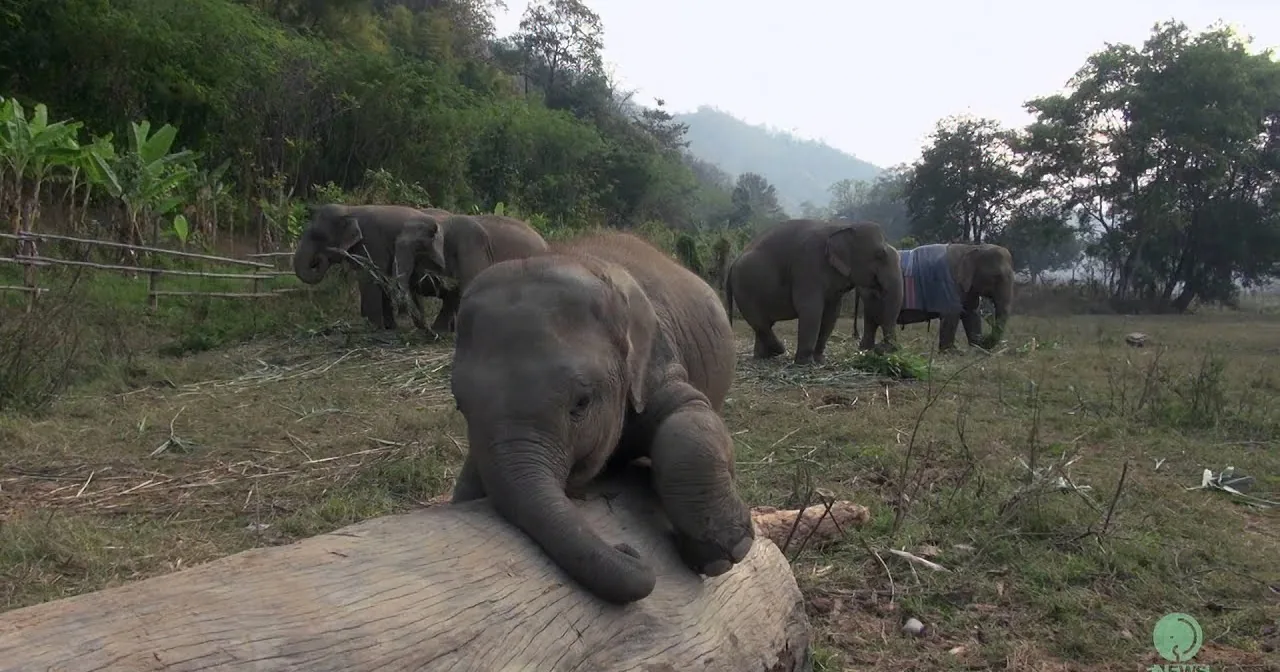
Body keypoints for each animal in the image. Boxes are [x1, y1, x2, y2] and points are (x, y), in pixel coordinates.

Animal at [293, 203, 447, 330]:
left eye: (317, 235)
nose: (319, 258)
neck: (349, 209)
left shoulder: (371, 242)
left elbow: (369, 278)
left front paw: (375, 328)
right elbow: (383, 279)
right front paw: (389, 327)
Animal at [392, 212, 548, 334]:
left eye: (418, 248)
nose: (427, 329)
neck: (442, 222)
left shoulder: (472, 249)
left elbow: (466, 288)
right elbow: (451, 292)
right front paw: (442, 330)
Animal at [448, 231, 755, 605]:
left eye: (582, 402)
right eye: (459, 404)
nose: (627, 549)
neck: (576, 258)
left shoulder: (656, 360)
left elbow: (688, 418)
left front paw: (724, 553)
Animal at [724, 218, 904, 365]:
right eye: (880, 254)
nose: (882, 348)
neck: (843, 226)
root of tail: (732, 264)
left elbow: (832, 313)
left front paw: (820, 360)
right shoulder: (808, 266)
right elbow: (811, 308)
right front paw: (805, 363)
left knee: (763, 323)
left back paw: (763, 357)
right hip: (745, 288)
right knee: (760, 322)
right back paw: (778, 351)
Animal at [855, 242, 1014, 352]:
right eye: (997, 277)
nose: (986, 339)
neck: (971, 248)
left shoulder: (967, 288)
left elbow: (971, 314)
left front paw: (976, 346)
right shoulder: (949, 286)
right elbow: (952, 313)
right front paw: (952, 352)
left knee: (871, 321)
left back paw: (866, 350)